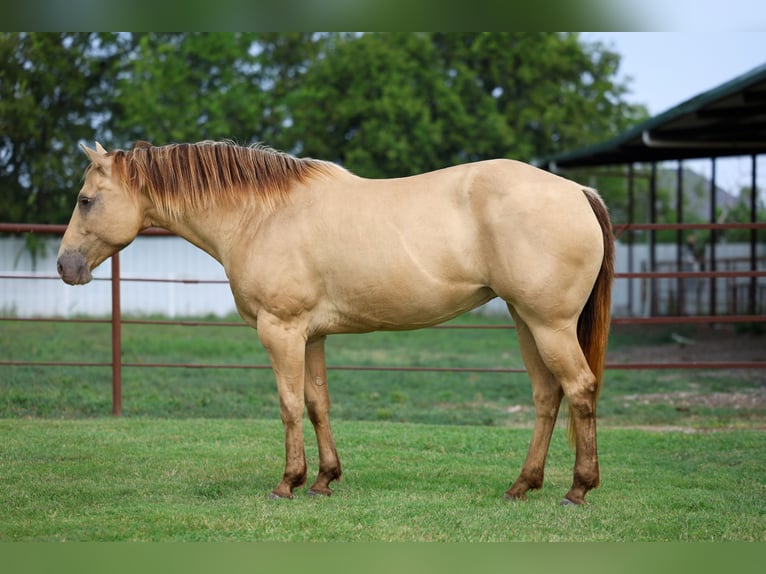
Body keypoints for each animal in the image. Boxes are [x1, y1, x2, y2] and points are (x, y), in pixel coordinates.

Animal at [57, 140, 614, 505]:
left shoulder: (279, 330)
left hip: (549, 324)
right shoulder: (312, 335)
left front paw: (288, 482)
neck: (261, 215)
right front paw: (325, 479)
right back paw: (522, 485)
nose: (65, 266)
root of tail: (577, 191)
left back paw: (578, 488)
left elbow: (287, 405)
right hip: (527, 323)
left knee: (579, 389)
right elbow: (316, 403)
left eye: (85, 200)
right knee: (547, 396)